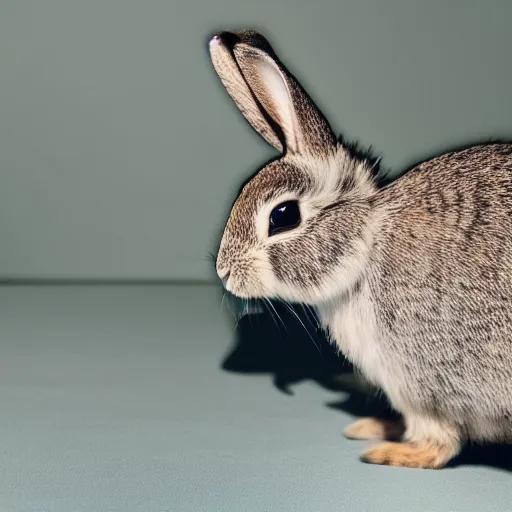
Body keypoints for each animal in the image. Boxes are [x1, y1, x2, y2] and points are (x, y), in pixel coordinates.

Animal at [207, 28, 512, 468]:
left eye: (283, 215)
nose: (225, 272)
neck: (365, 244)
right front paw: (376, 426)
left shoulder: (423, 384)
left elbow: (440, 444)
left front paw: (391, 450)